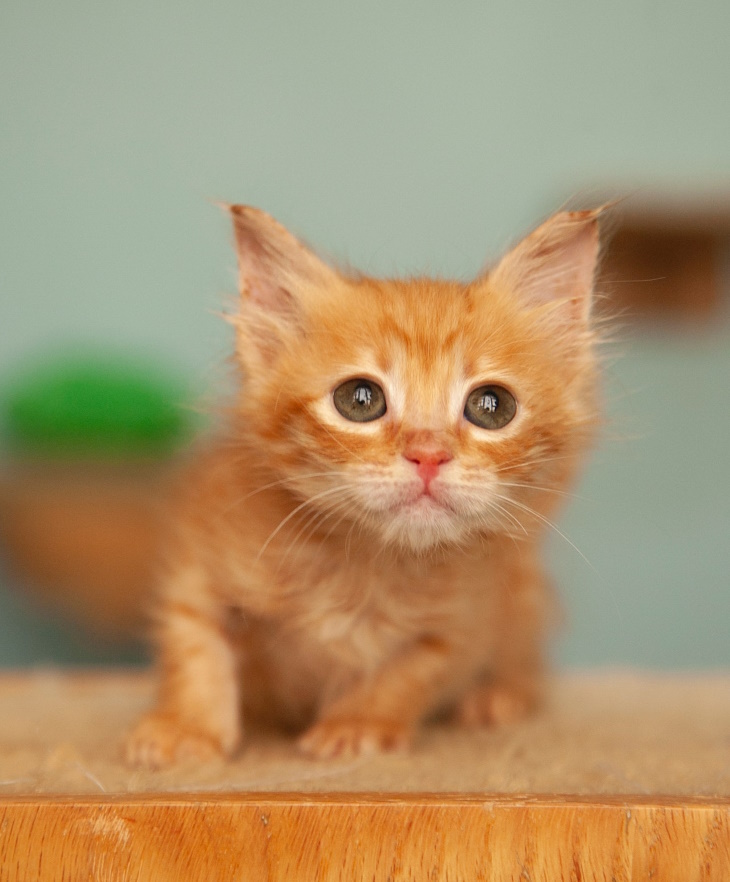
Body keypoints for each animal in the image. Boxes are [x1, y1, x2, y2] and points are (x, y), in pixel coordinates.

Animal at [125, 205, 600, 764]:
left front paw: (358, 723)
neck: (364, 562)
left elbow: (409, 674)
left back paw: (498, 696)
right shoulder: (200, 558)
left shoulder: (464, 619)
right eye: (359, 399)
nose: (428, 454)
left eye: (492, 406)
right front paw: (188, 726)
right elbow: (195, 646)